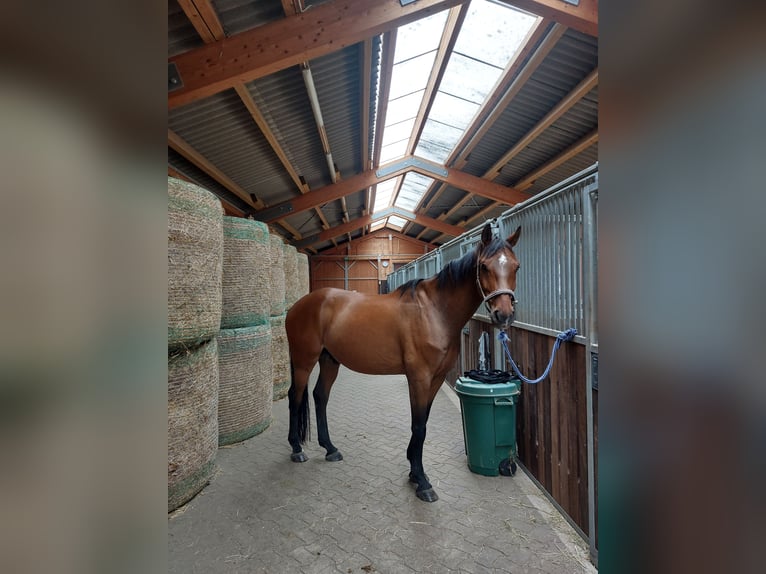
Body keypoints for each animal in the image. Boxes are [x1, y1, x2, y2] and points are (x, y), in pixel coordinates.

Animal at [286, 225, 520, 504]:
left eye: (516, 266)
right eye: (484, 266)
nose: (503, 314)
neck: (434, 311)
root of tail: (297, 306)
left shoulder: (435, 379)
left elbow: (423, 423)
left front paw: (414, 472)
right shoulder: (419, 377)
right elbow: (418, 426)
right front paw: (422, 481)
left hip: (330, 360)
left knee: (320, 396)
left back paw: (330, 449)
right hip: (304, 360)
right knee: (295, 397)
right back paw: (297, 449)